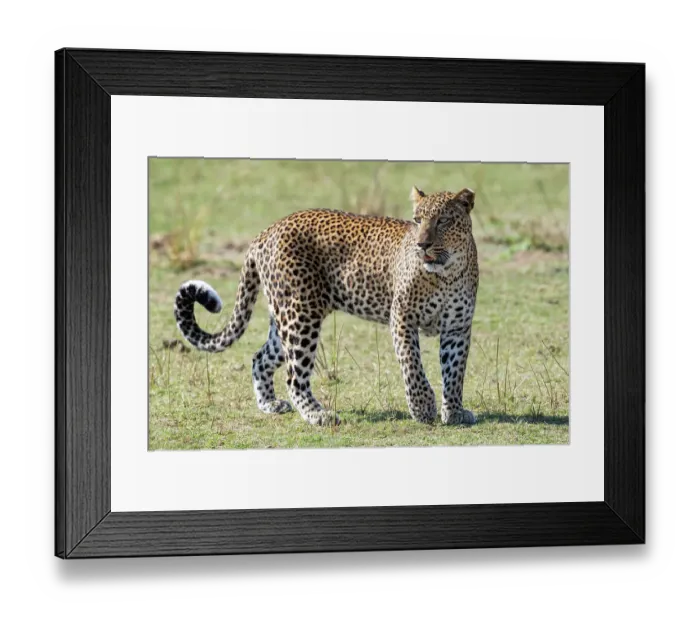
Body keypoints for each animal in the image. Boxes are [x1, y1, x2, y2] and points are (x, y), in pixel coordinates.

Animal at [173, 185, 479, 427]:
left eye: (443, 220)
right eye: (417, 220)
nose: (421, 244)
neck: (446, 273)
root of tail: (265, 232)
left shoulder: (458, 327)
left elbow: (454, 372)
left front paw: (454, 412)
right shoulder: (402, 318)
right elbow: (412, 364)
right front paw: (422, 407)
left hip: (285, 316)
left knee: (260, 357)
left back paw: (270, 405)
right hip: (301, 315)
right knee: (294, 377)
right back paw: (318, 415)